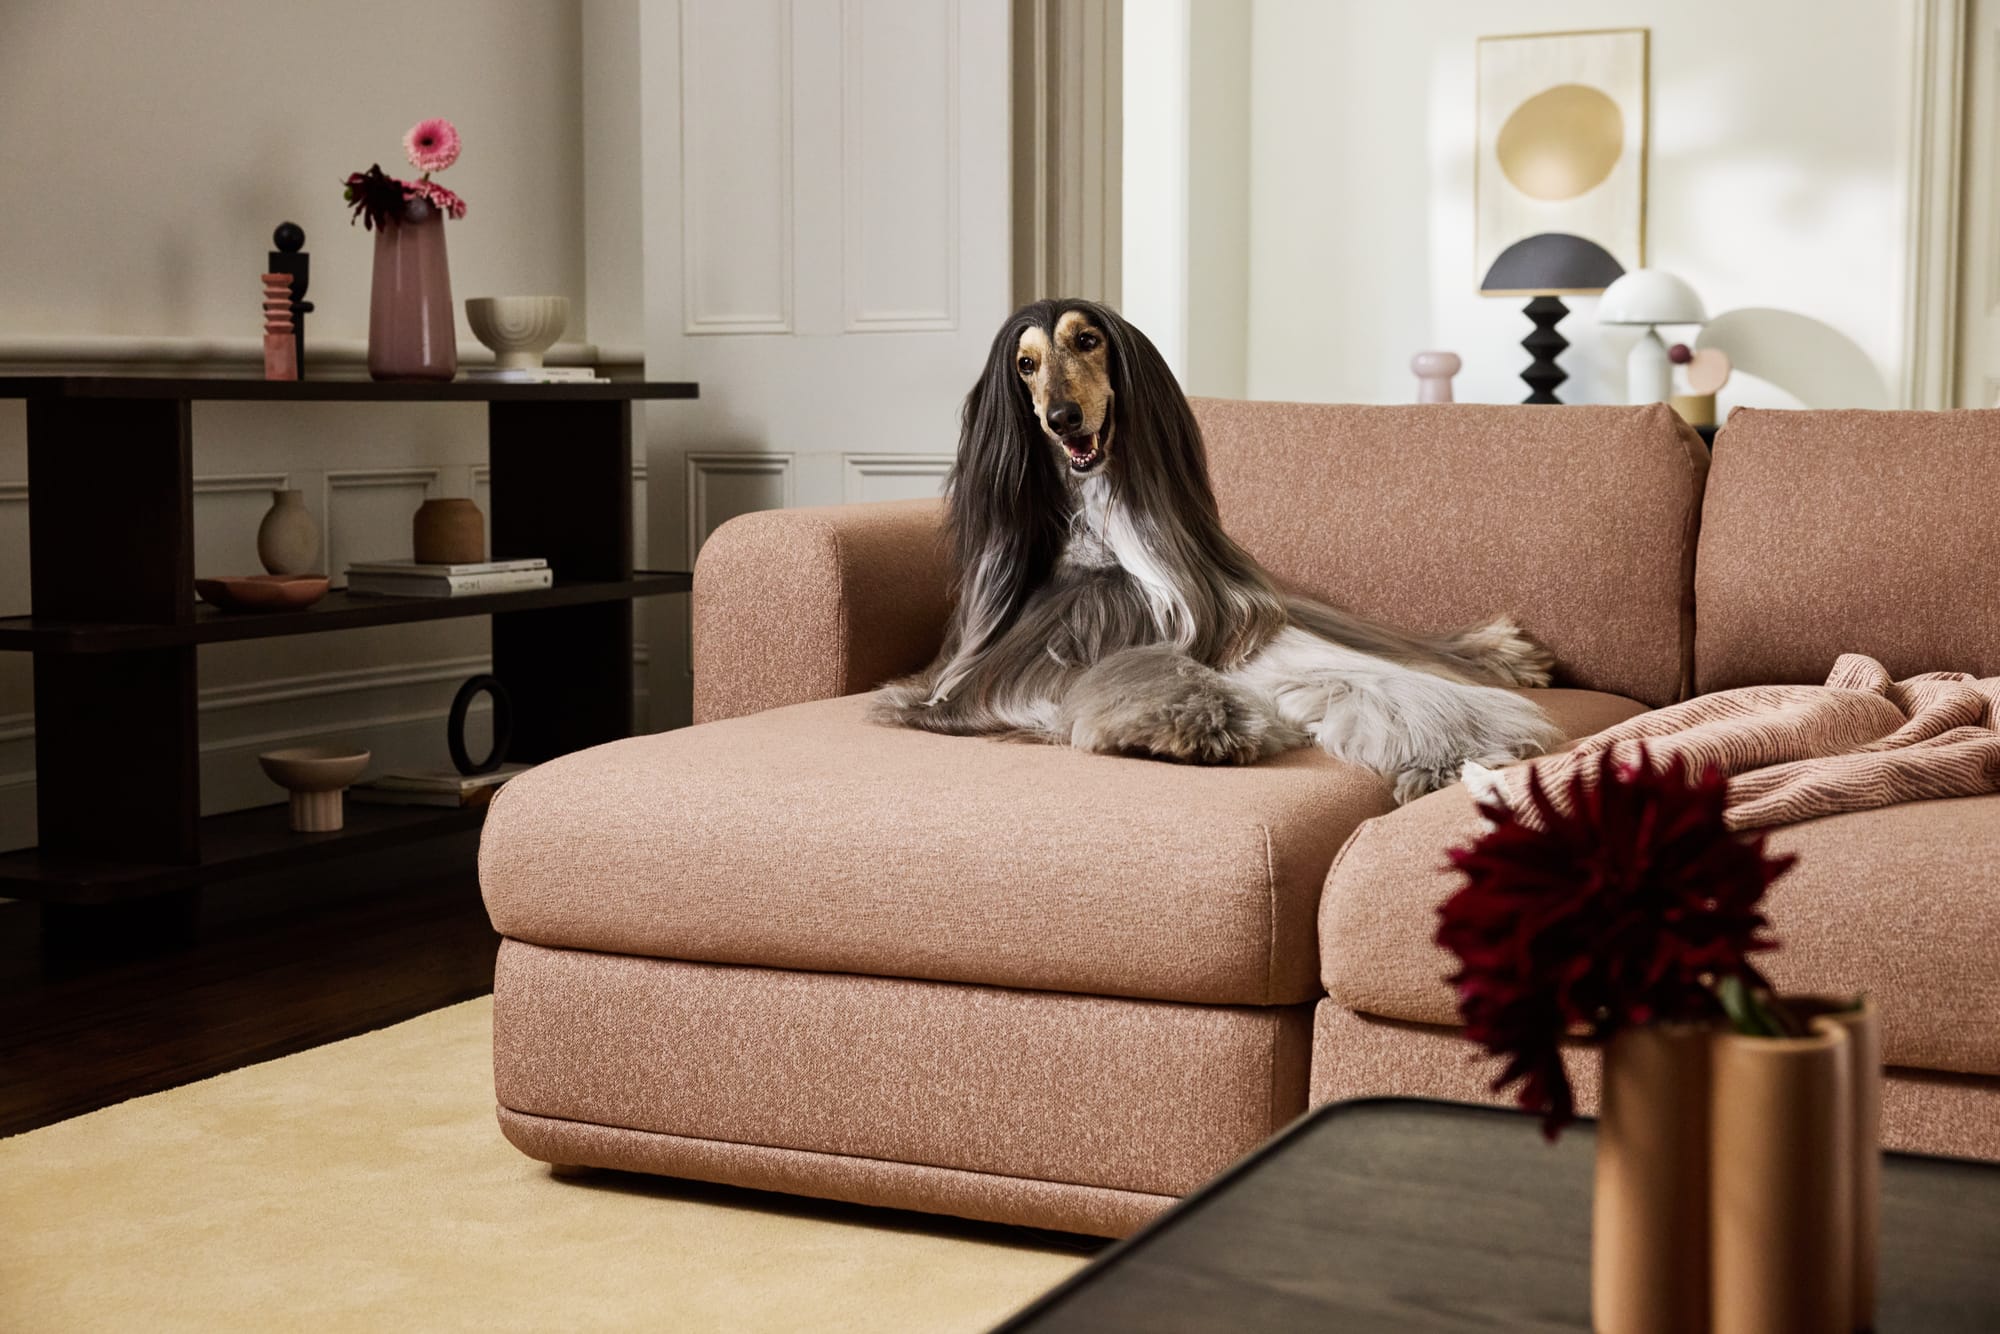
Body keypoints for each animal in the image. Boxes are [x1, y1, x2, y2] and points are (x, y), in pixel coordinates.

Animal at [876, 300, 1560, 804]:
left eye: (1088, 340)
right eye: (1025, 364)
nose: (1062, 417)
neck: (1110, 540)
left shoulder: (1244, 628)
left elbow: (1376, 680)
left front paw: (1450, 745)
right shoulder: (1008, 679)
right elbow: (1141, 668)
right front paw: (1198, 724)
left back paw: (1503, 652)